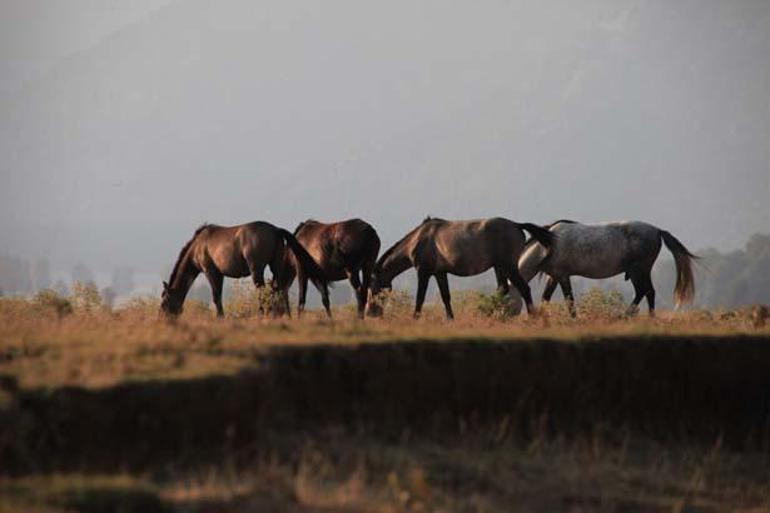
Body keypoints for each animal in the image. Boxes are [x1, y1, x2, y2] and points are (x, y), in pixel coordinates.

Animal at [160, 223, 328, 318]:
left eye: (165, 300)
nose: (161, 319)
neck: (198, 246)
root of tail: (275, 230)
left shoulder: (210, 272)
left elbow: (216, 297)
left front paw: (220, 318)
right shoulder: (219, 274)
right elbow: (218, 296)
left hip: (256, 269)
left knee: (262, 291)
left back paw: (263, 314)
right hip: (276, 266)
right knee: (279, 289)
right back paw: (284, 315)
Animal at [370, 215, 556, 318]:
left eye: (373, 288)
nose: (372, 313)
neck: (418, 239)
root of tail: (517, 225)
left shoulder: (423, 272)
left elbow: (420, 298)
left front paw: (415, 318)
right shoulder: (440, 273)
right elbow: (446, 297)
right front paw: (450, 319)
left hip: (508, 266)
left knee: (524, 288)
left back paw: (532, 317)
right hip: (499, 267)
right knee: (503, 289)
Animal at [516, 220, 696, 316]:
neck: (547, 245)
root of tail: (657, 231)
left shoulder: (562, 276)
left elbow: (569, 301)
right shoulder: (553, 276)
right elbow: (545, 298)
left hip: (638, 271)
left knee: (643, 291)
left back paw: (627, 316)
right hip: (643, 272)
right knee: (648, 292)